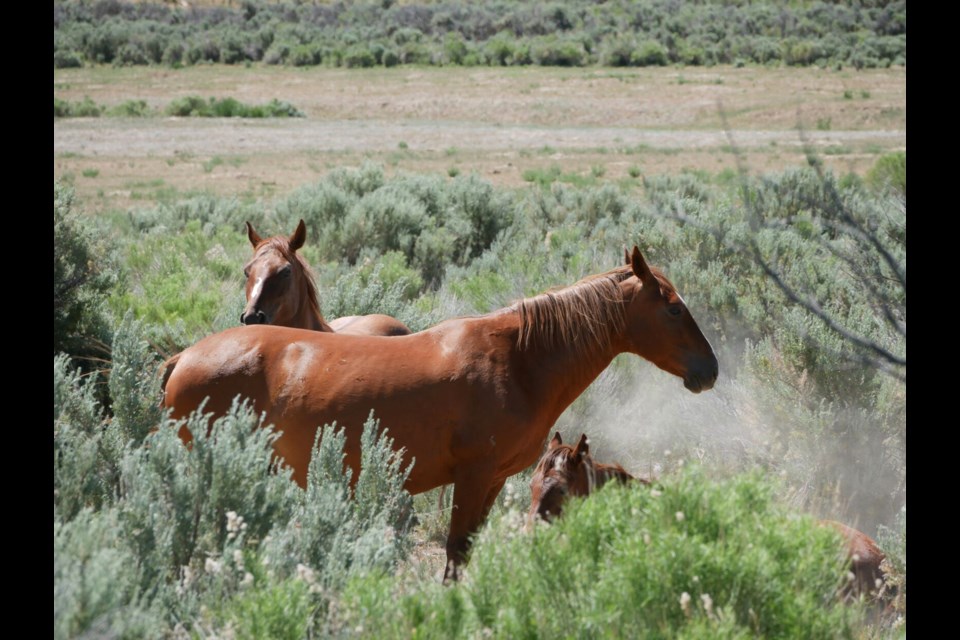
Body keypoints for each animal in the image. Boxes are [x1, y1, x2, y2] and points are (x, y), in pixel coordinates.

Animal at [161, 248, 716, 584]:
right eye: (672, 308)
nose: (709, 369)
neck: (518, 359)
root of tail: (184, 357)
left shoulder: (494, 480)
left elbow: (467, 549)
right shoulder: (471, 477)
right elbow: (456, 550)